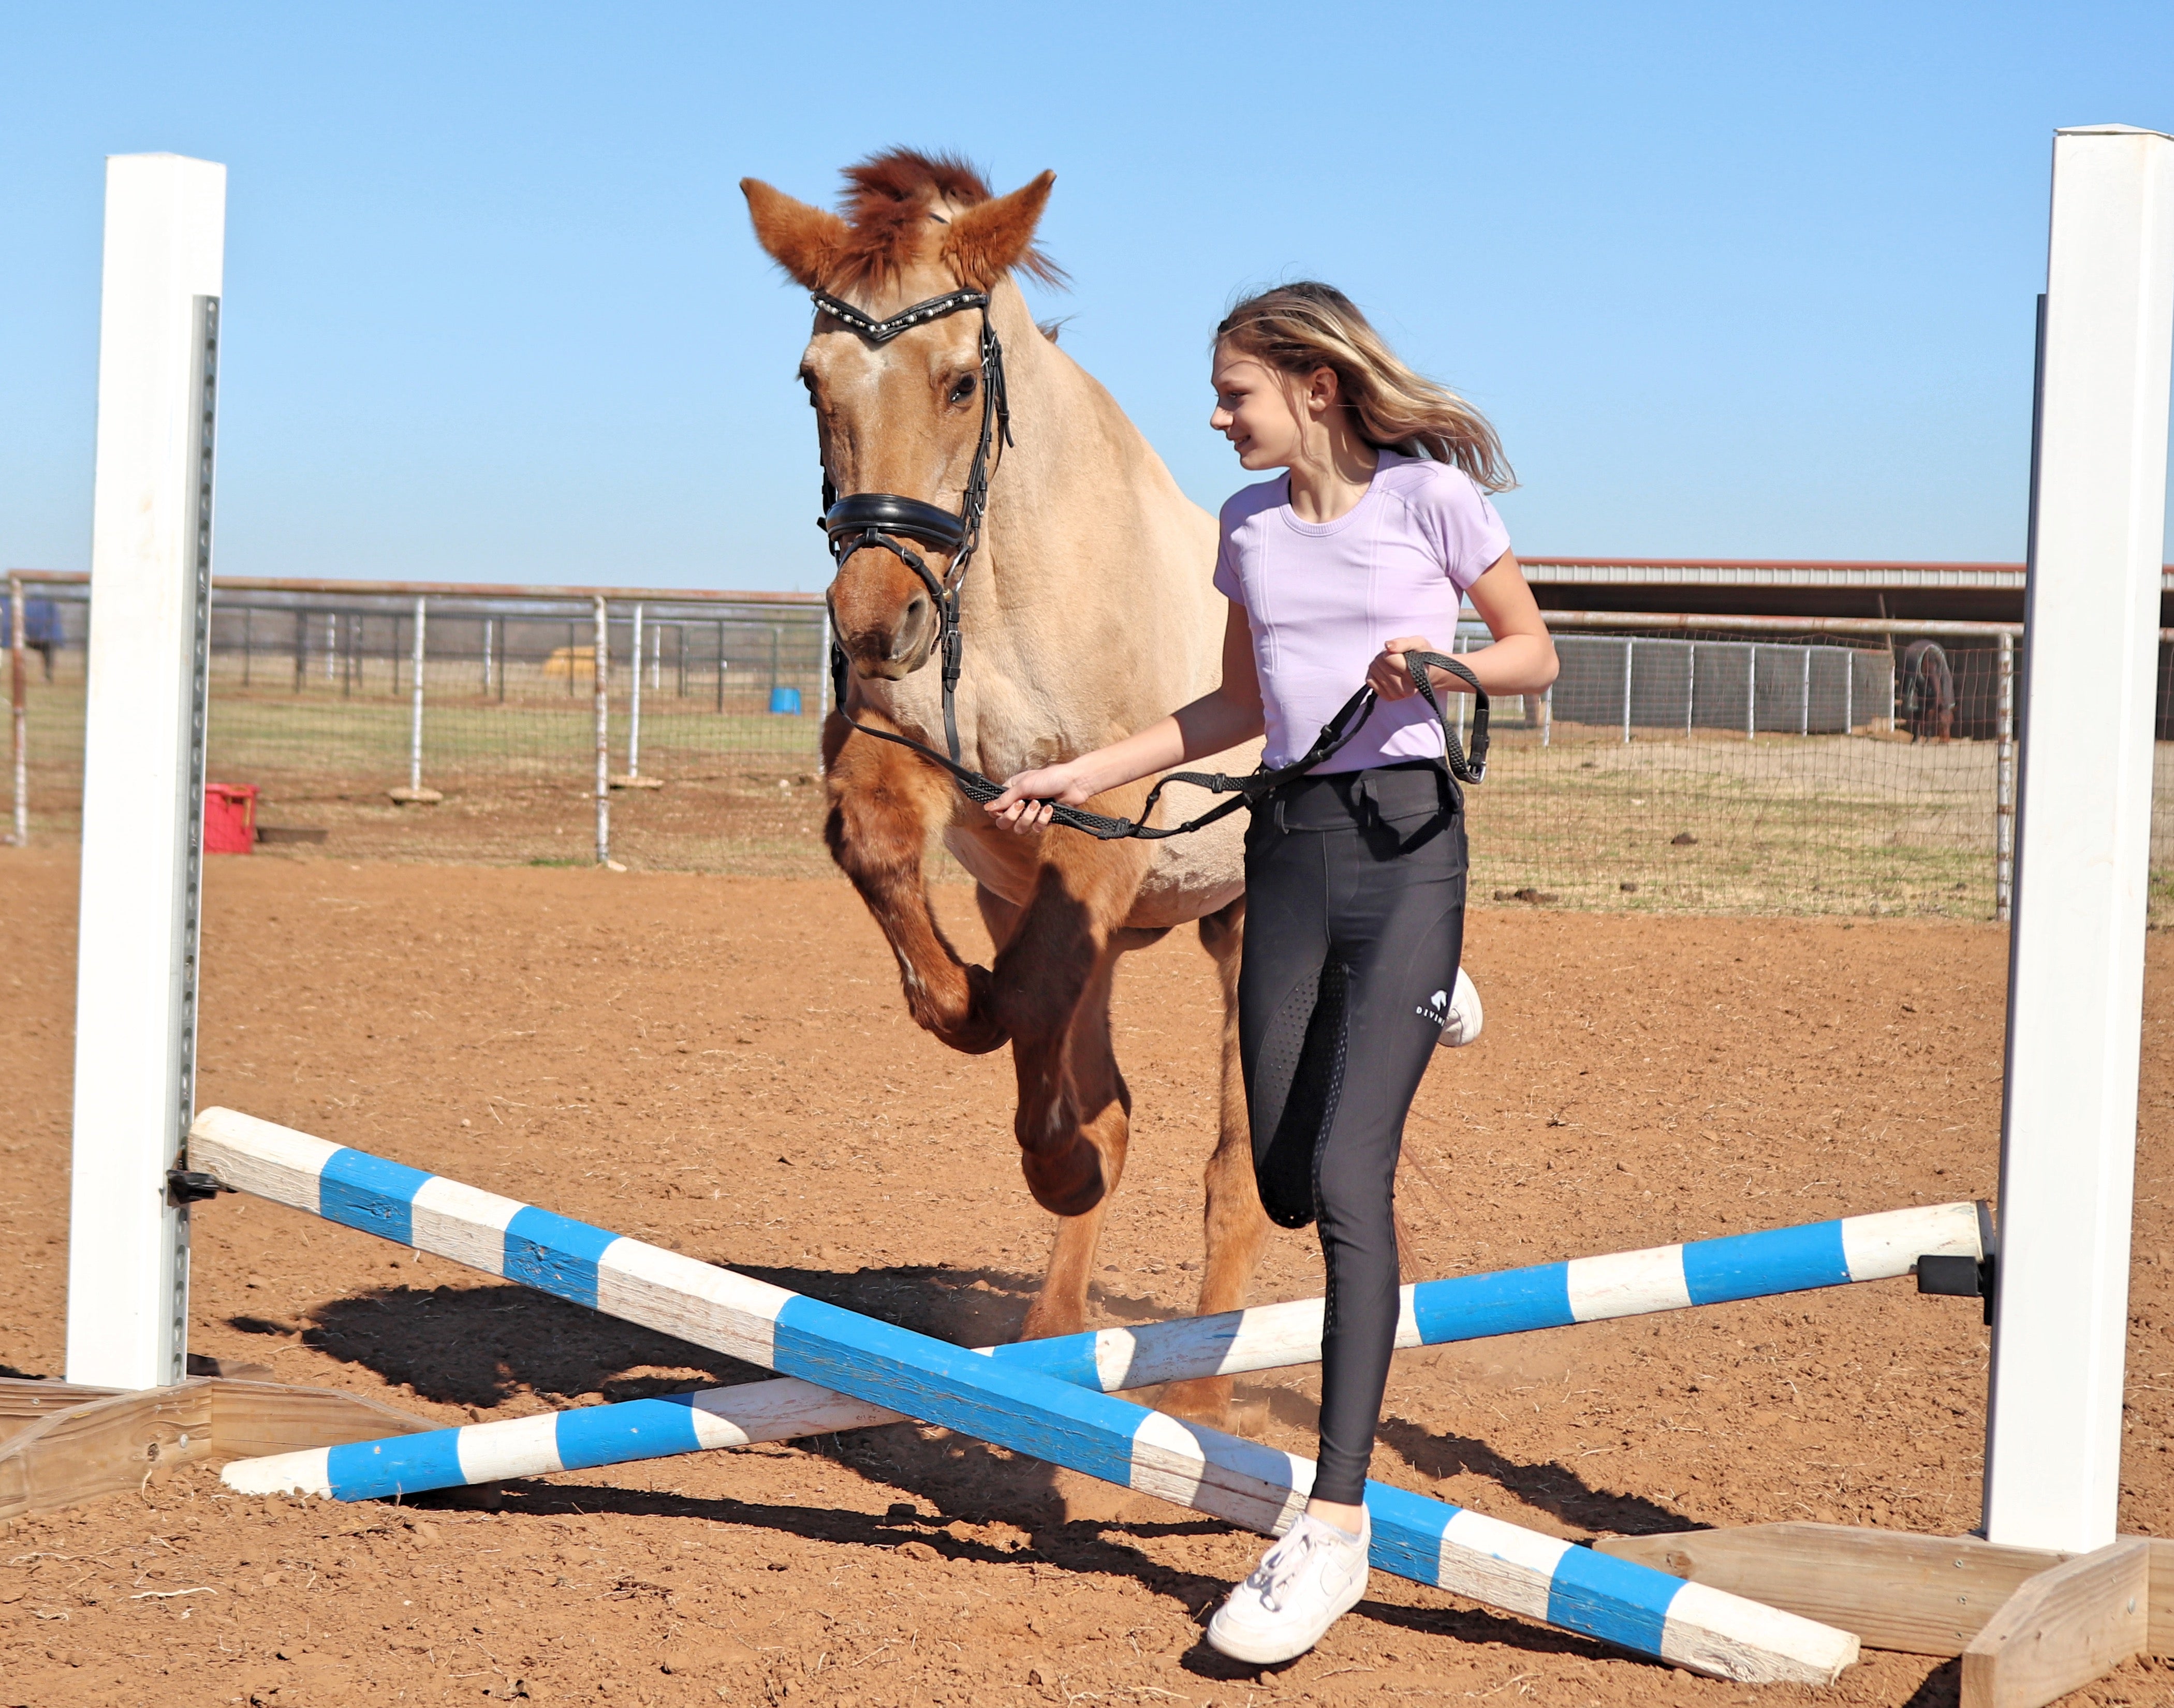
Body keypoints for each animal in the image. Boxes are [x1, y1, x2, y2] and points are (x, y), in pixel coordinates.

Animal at [739, 156, 1269, 1408]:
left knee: (1234, 1166)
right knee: (1112, 1094)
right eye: (811, 382)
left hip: (1244, 929)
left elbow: (1029, 1003)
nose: (876, 623)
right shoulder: (933, 787)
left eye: (960, 383)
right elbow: (899, 880)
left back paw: (1203, 1389)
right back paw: (1052, 1339)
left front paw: (1056, 1161)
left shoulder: (1105, 817)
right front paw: (961, 1006)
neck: (1005, 582)